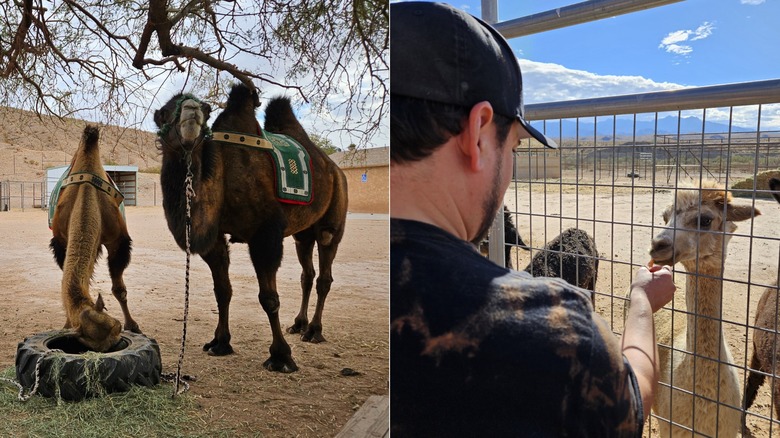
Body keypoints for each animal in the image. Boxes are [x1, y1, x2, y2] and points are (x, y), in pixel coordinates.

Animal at [49, 126, 139, 352]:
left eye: (118, 327)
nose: (119, 343)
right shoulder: (60, 242)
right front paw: (66, 324)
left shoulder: (118, 242)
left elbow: (119, 290)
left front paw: (133, 325)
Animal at [154, 85, 348, 372]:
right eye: (164, 112)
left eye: (206, 109)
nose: (192, 109)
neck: (223, 175)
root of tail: (335, 168)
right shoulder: (216, 237)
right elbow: (222, 291)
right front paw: (220, 343)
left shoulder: (265, 234)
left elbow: (269, 298)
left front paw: (281, 356)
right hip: (303, 233)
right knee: (307, 273)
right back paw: (299, 324)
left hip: (334, 215)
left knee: (325, 269)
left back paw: (314, 331)